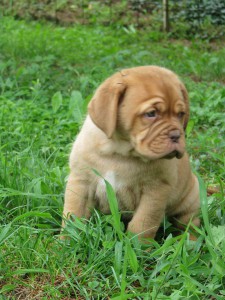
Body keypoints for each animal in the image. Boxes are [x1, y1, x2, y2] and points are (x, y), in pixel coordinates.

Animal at [62, 65, 200, 239]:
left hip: (191, 198)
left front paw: (138, 246)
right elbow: (73, 216)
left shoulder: (155, 191)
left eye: (181, 114)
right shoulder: (81, 181)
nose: (176, 135)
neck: (119, 153)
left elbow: (142, 224)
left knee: (190, 224)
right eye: (151, 113)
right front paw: (65, 242)